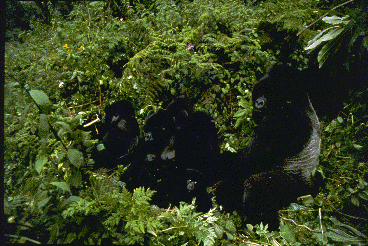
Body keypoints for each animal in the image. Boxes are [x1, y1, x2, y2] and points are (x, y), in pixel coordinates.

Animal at [214, 63, 320, 229]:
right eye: (260, 92)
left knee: (255, 185)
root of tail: (312, 188)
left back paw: (261, 224)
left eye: (269, 93)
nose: (258, 102)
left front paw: (225, 193)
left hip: (297, 189)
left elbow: (250, 162)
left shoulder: (284, 118)